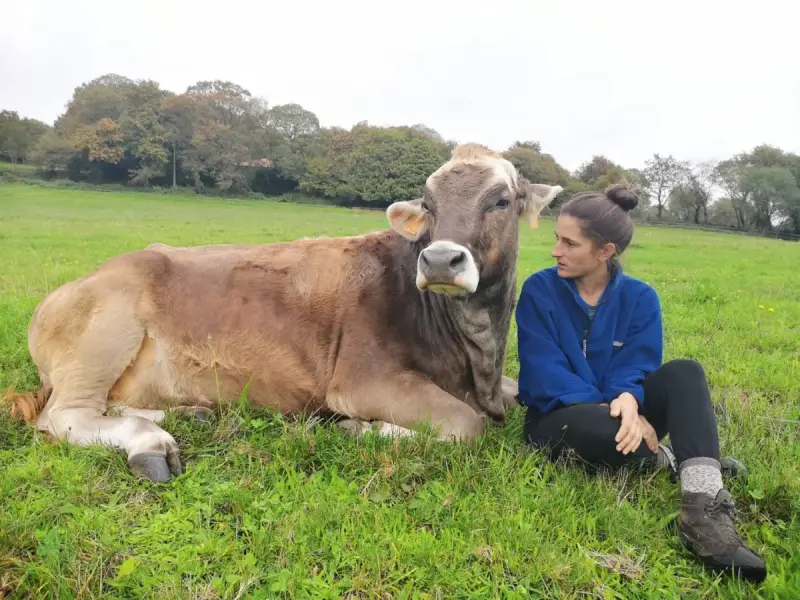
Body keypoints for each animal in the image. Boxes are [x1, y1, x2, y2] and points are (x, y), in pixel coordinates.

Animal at [6, 144, 560, 482]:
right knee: (65, 415)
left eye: (502, 201)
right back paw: (150, 442)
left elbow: (514, 395)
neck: (475, 359)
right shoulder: (362, 379)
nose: (441, 259)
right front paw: (357, 428)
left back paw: (187, 413)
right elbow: (467, 425)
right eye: (428, 203)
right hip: (103, 332)